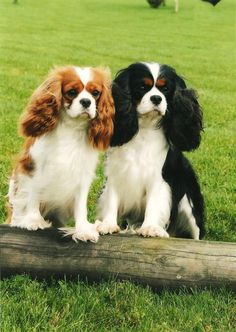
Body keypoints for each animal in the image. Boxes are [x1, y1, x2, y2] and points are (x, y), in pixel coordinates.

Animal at [7, 65, 114, 241]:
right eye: (72, 92)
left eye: (95, 93)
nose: (86, 102)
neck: (72, 127)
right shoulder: (34, 167)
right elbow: (33, 193)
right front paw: (33, 220)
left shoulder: (82, 173)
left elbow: (81, 205)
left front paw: (83, 229)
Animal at [96, 62, 205, 239]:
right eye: (142, 86)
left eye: (165, 89)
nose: (156, 98)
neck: (145, 128)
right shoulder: (116, 172)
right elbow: (111, 198)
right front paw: (108, 224)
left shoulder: (158, 179)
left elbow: (154, 203)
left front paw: (151, 228)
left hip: (190, 208)